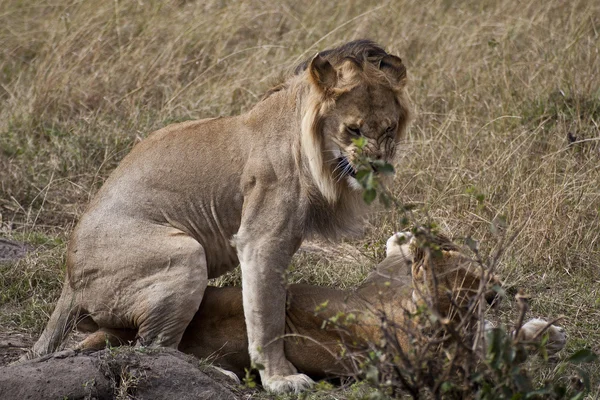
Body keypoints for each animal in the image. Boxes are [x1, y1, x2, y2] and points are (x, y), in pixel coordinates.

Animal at [28, 41, 412, 394]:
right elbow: (268, 317)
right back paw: (219, 375)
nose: (377, 167)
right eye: (353, 130)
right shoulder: (261, 242)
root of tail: (70, 282)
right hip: (184, 255)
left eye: (389, 130)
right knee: (151, 347)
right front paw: (281, 379)